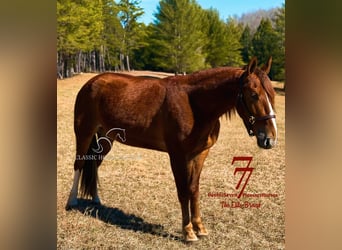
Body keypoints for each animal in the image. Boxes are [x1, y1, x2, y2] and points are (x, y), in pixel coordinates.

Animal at [65, 57, 276, 242]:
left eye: (272, 95)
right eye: (254, 95)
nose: (269, 139)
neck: (194, 104)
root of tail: (91, 83)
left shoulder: (200, 154)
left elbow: (194, 189)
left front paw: (200, 228)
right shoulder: (178, 156)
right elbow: (183, 191)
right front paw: (188, 232)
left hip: (106, 138)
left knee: (94, 164)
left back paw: (95, 199)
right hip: (84, 133)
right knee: (79, 164)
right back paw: (72, 201)